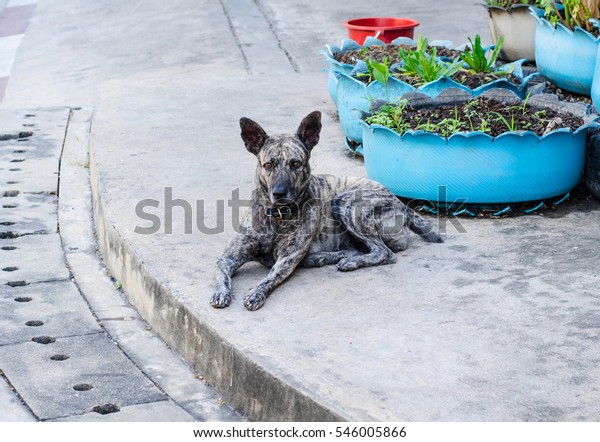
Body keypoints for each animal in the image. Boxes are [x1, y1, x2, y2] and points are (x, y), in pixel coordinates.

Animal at [210, 110, 440, 310]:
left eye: (296, 163)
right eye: (268, 165)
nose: (279, 193)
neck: (276, 215)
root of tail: (400, 202)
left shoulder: (287, 259)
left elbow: (270, 277)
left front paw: (256, 293)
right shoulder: (229, 256)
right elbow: (220, 271)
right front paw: (220, 292)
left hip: (345, 202)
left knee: (384, 252)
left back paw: (349, 261)